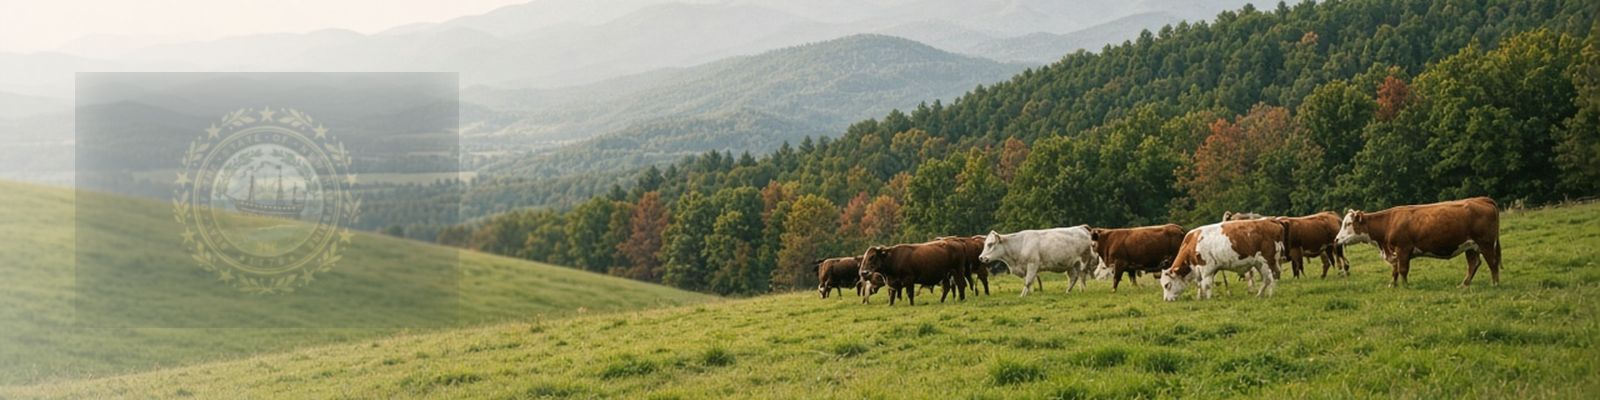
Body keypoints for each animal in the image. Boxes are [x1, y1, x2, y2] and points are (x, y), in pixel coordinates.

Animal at [1160, 218, 1289, 301]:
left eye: (1167, 285)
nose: (1166, 300)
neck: (1193, 242)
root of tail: (1270, 220)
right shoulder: (1206, 270)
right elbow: (1202, 284)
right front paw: (1200, 297)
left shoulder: (1206, 268)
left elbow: (1206, 284)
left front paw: (1208, 299)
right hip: (1261, 263)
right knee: (1269, 278)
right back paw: (1261, 295)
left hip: (1267, 261)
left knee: (1270, 278)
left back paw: (1268, 295)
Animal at [1336, 197, 1502, 287]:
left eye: (1348, 224)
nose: (1336, 239)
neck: (1389, 222)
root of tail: (1481, 199)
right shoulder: (1395, 252)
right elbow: (1395, 270)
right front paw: (1393, 285)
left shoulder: (1403, 248)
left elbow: (1403, 269)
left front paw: (1405, 286)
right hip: (1470, 246)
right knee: (1473, 264)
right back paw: (1464, 285)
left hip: (1485, 243)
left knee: (1492, 263)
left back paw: (1494, 284)